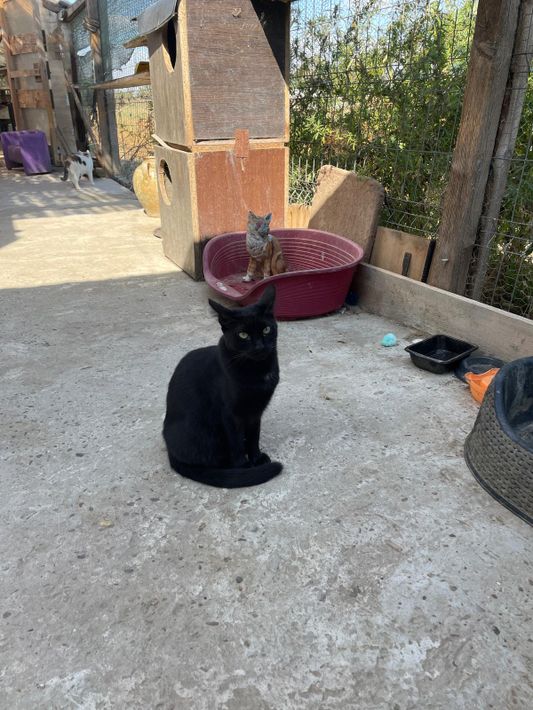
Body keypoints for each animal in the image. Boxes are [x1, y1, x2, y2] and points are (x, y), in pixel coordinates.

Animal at [163, 285, 283, 488]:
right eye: (243, 335)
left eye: (266, 329)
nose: (259, 347)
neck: (257, 371)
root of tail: (171, 452)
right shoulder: (230, 414)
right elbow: (236, 443)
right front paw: (244, 468)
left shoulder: (255, 412)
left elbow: (254, 436)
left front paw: (256, 458)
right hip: (204, 434)